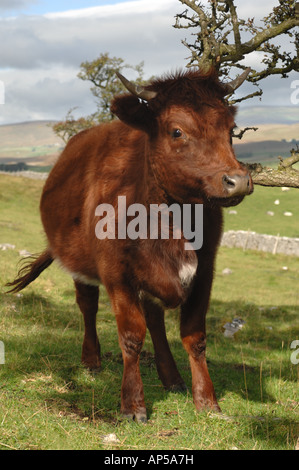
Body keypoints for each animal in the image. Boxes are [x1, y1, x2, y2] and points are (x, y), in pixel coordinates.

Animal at [7, 68, 253, 424]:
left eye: (231, 130)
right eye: (176, 131)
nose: (238, 181)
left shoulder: (205, 269)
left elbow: (194, 337)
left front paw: (207, 401)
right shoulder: (117, 273)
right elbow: (132, 337)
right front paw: (133, 405)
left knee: (155, 318)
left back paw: (171, 378)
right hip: (82, 266)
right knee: (88, 306)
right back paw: (92, 360)